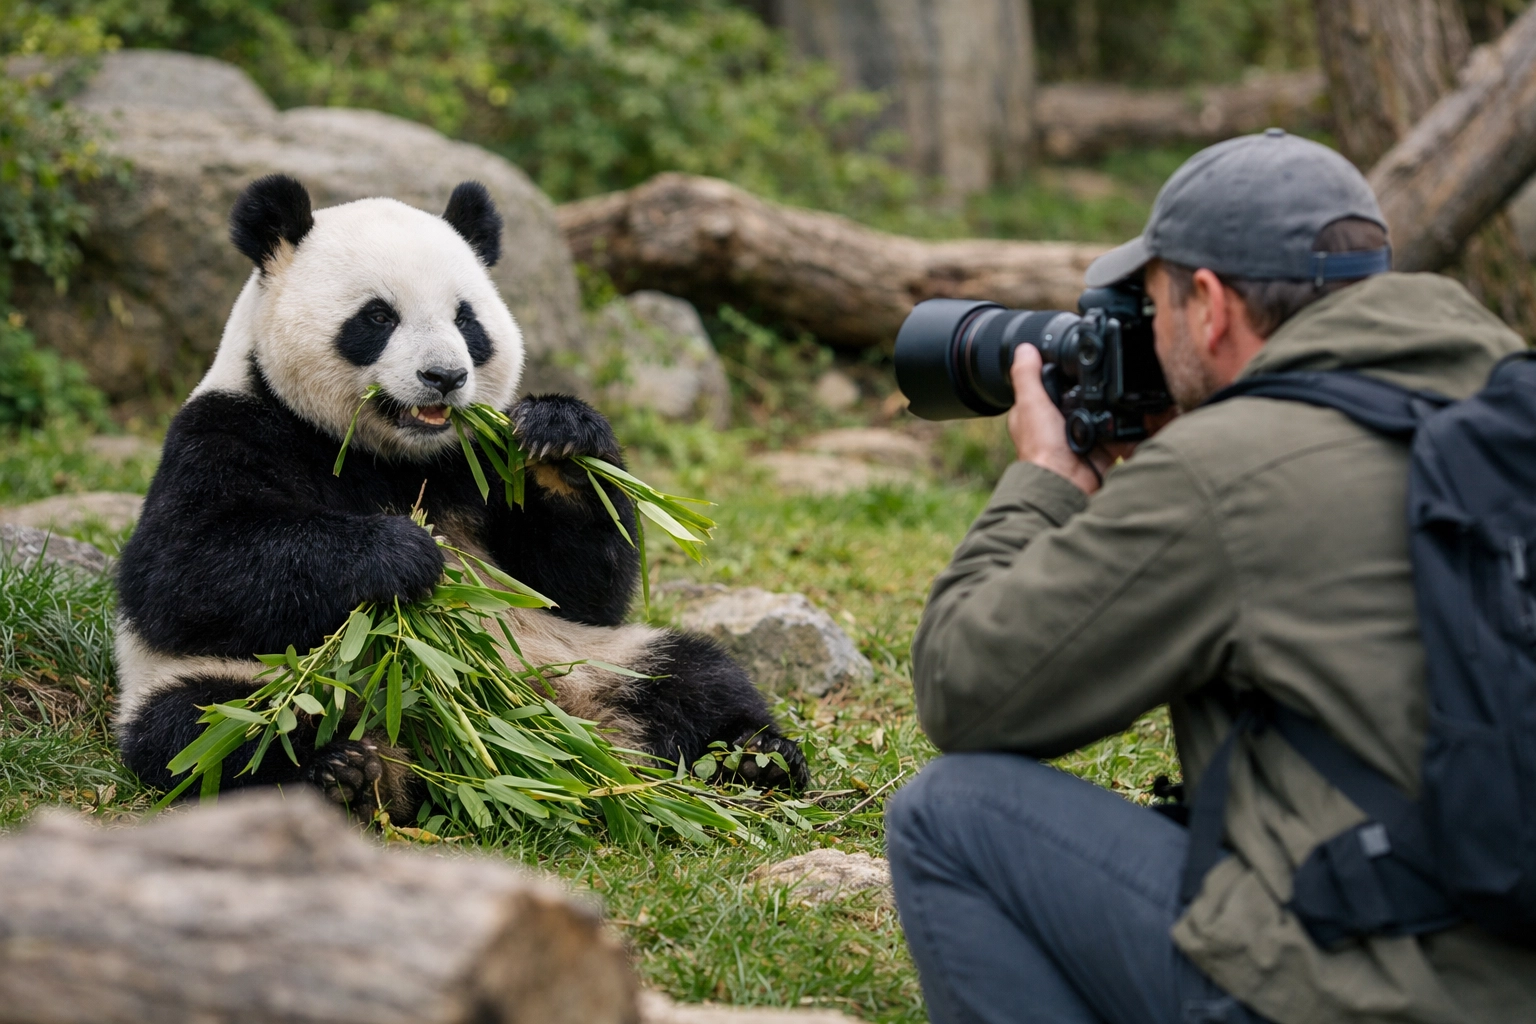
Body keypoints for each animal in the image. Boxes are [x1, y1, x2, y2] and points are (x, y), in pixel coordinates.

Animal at [113, 174, 809, 818]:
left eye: (466, 319)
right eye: (378, 317)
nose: (444, 377)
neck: (391, 456)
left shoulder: (476, 467)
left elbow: (580, 587)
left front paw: (560, 439)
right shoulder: (231, 429)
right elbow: (183, 570)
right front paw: (405, 555)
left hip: (590, 658)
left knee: (692, 675)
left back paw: (759, 757)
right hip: (250, 684)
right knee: (212, 731)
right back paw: (346, 772)